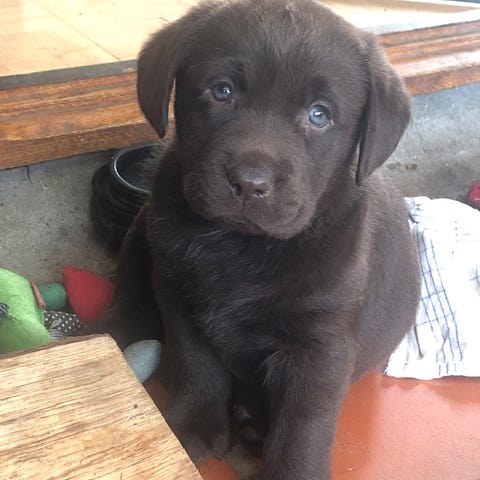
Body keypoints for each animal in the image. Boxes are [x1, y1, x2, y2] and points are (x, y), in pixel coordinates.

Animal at [89, 1, 421, 478]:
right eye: (222, 91)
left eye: (319, 114)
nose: (250, 183)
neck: (242, 246)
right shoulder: (177, 293)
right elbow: (195, 362)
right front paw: (191, 427)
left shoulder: (321, 344)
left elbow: (304, 425)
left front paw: (294, 471)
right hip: (144, 227)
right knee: (130, 296)